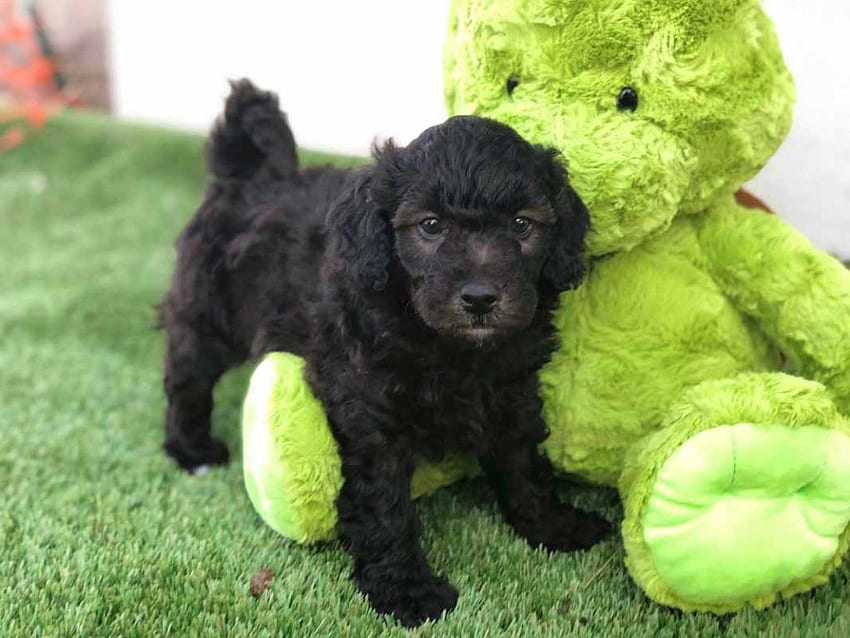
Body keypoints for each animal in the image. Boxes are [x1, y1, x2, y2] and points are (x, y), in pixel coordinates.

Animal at [159, 80, 608, 632]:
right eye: (431, 226)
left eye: (523, 225)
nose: (480, 298)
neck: (452, 348)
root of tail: (245, 176)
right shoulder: (372, 413)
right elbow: (386, 504)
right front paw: (407, 591)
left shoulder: (513, 391)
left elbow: (524, 462)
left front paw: (552, 524)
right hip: (206, 308)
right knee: (188, 375)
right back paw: (192, 448)